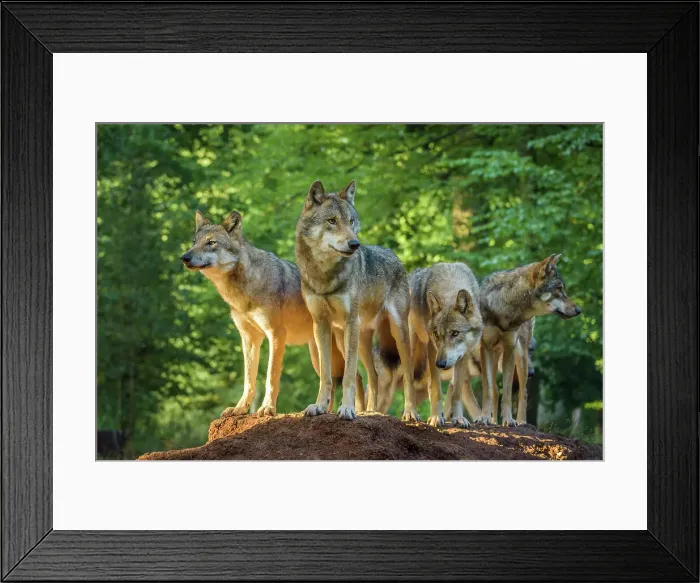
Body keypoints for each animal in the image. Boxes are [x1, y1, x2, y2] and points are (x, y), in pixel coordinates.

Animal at [181, 209, 363, 418]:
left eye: (211, 243)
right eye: (194, 242)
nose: (184, 257)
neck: (244, 289)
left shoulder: (276, 335)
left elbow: (271, 376)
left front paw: (267, 408)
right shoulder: (249, 338)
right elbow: (249, 380)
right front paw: (240, 408)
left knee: (356, 377)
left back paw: (356, 410)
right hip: (318, 354)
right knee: (331, 381)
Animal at [295, 180, 419, 421]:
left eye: (351, 221)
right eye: (332, 221)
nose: (355, 244)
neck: (325, 276)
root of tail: (395, 256)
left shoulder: (351, 321)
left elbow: (349, 376)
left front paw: (346, 409)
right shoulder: (321, 324)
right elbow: (327, 376)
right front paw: (320, 406)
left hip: (395, 332)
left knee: (407, 373)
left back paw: (409, 412)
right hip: (355, 338)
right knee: (372, 376)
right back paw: (370, 411)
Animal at [374, 263, 483, 427]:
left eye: (455, 333)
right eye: (437, 335)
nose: (441, 363)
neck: (451, 287)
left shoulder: (463, 355)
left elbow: (456, 393)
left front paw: (458, 418)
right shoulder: (433, 348)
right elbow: (438, 389)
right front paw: (436, 417)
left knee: (429, 385)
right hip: (410, 349)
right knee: (409, 381)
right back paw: (410, 412)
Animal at [480, 254, 581, 426]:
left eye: (563, 289)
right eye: (558, 290)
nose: (579, 310)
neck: (504, 308)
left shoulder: (510, 348)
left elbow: (507, 392)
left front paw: (508, 420)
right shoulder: (485, 348)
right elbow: (488, 389)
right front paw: (484, 418)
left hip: (521, 358)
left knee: (524, 391)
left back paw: (521, 421)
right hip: (495, 357)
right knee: (494, 389)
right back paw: (493, 421)